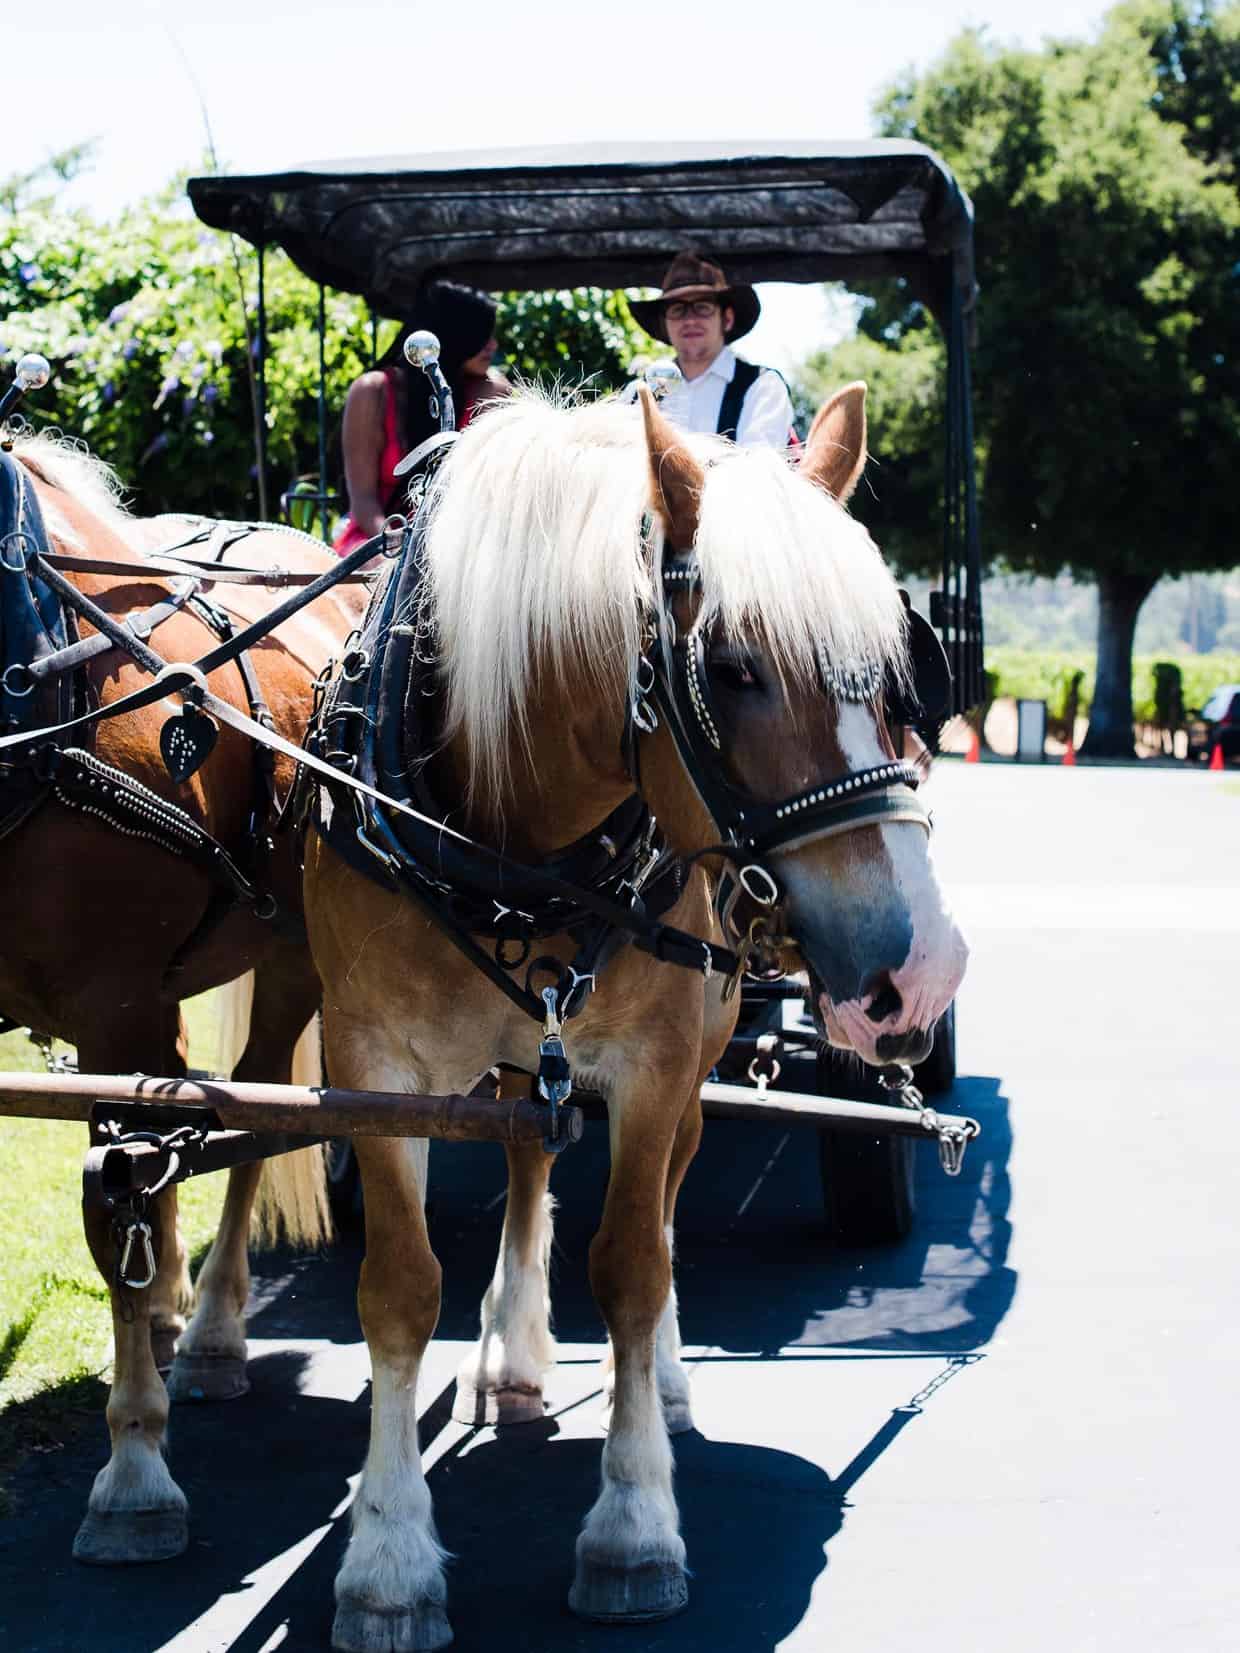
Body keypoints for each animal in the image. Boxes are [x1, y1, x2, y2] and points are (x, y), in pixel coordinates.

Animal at [2, 436, 363, 1560]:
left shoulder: (112, 1006)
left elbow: (113, 1200)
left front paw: (134, 1471)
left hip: (297, 956)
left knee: (254, 1111)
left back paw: (205, 1333)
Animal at [305, 380, 978, 1646]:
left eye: (901, 673)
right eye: (734, 668)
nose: (919, 977)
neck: (513, 836)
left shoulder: (661, 1061)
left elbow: (631, 1265)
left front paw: (633, 1528)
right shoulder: (373, 1059)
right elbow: (398, 1287)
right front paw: (388, 1552)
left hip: (700, 1041)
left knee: (661, 1211)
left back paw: (658, 1383)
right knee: (528, 1154)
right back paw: (513, 1352)